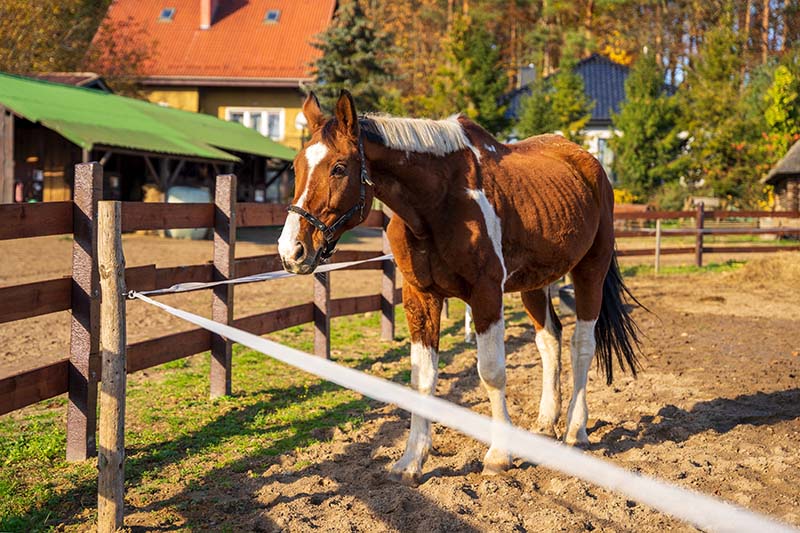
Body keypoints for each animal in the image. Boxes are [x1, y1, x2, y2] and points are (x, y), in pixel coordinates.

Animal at [278, 92, 640, 486]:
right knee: (550, 340)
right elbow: (422, 378)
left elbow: (492, 372)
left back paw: (576, 430)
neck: (439, 203)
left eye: (339, 168)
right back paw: (546, 423)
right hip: (536, 283)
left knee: (582, 345)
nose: (291, 251)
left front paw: (498, 456)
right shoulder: (421, 297)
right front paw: (412, 460)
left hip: (590, 269)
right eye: (296, 167)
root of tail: (589, 165)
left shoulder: (486, 295)